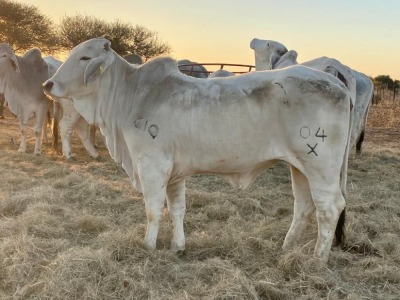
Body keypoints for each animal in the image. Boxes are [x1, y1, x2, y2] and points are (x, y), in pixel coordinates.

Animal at [42, 38, 352, 262]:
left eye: (84, 58)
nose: (48, 84)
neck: (132, 95)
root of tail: (337, 83)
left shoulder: (152, 165)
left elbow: (153, 210)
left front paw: (147, 246)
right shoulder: (174, 174)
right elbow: (177, 209)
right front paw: (178, 246)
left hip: (320, 165)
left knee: (329, 207)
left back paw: (317, 259)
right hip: (299, 166)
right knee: (304, 205)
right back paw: (287, 248)